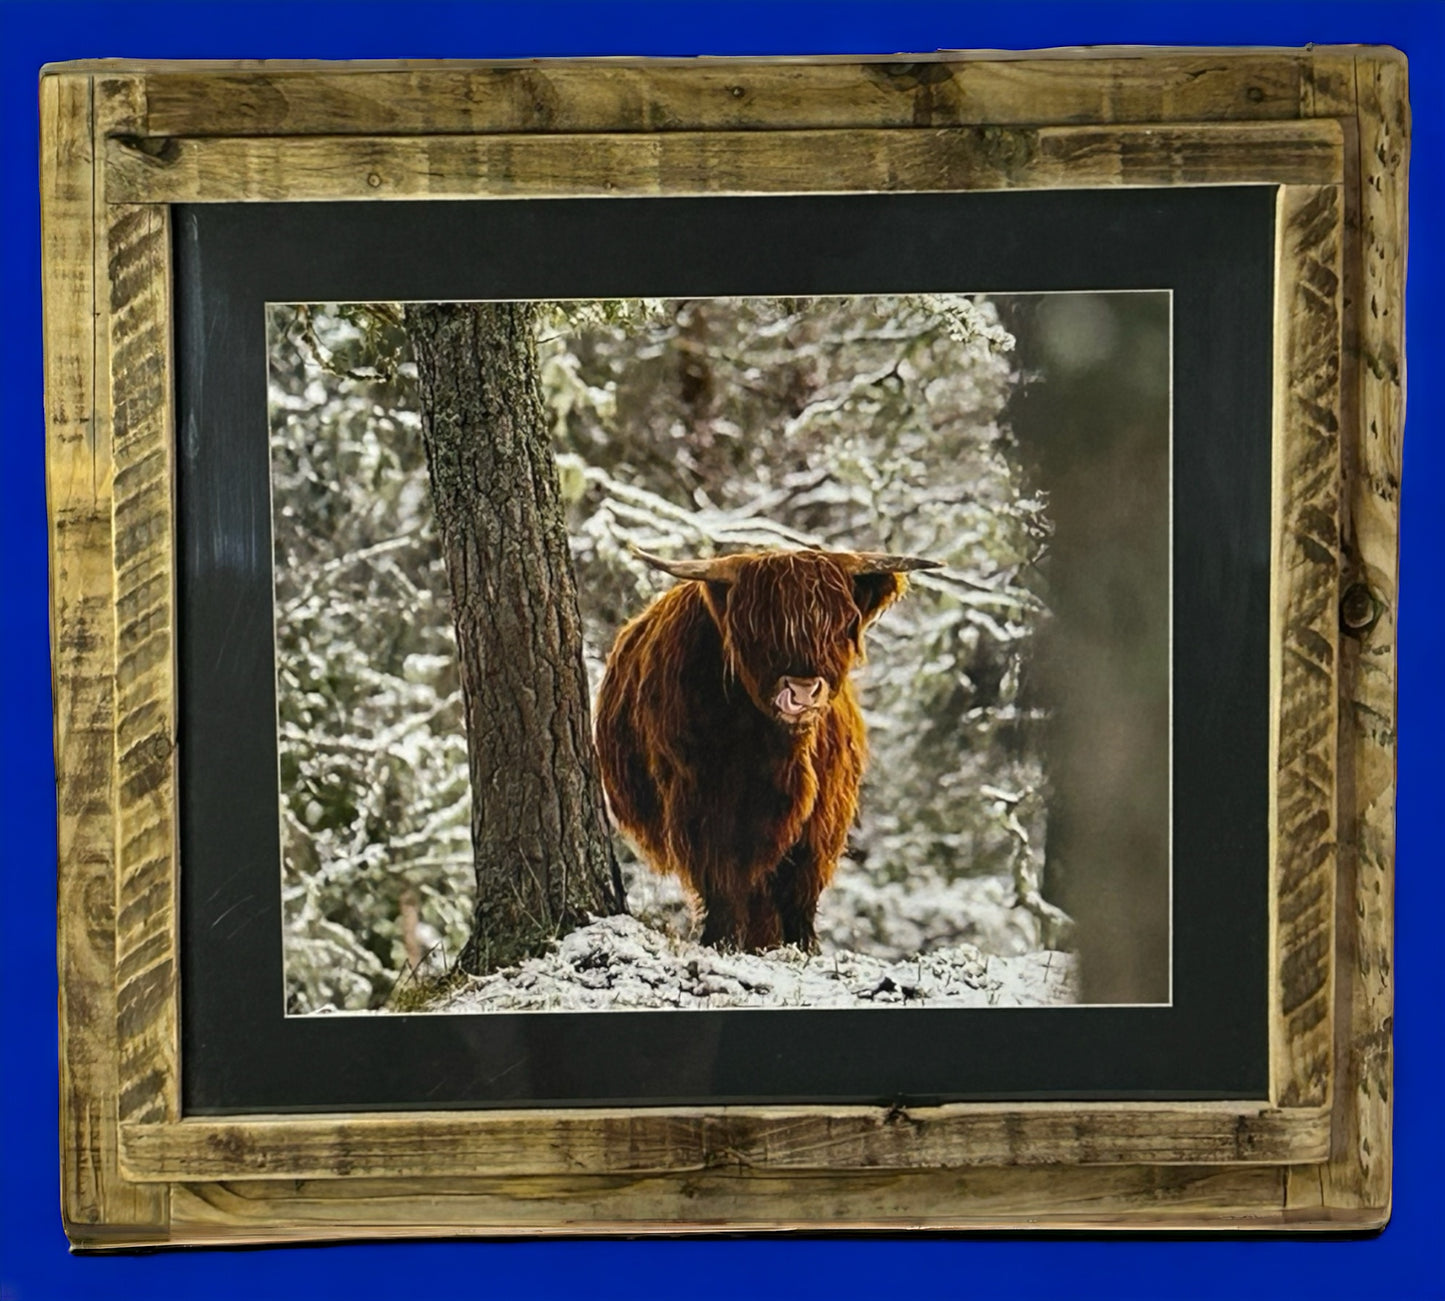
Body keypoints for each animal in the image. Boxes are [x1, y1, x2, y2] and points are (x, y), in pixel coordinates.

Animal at [592, 543, 942, 948]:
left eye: (841, 626)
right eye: (757, 629)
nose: (803, 692)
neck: (773, 752)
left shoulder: (822, 816)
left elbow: (801, 885)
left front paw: (803, 945)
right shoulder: (702, 799)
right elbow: (722, 876)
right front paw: (722, 939)